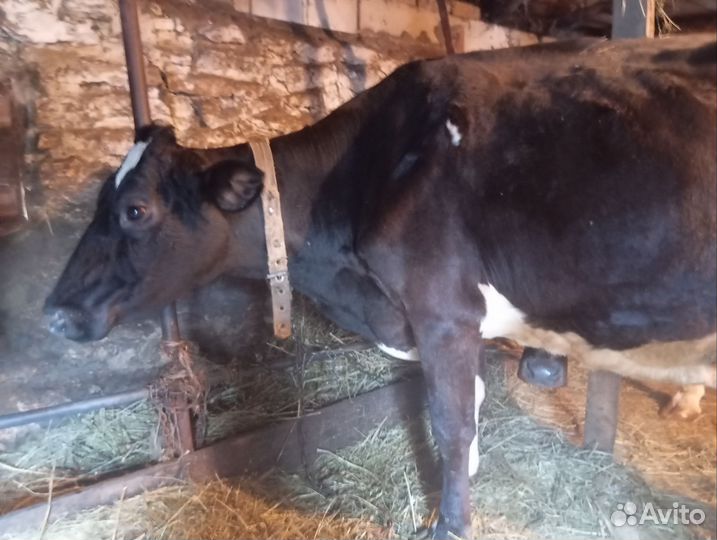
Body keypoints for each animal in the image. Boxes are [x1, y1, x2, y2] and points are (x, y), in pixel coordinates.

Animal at [45, 35, 716, 539]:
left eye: (135, 210)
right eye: (101, 199)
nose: (53, 312)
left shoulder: (443, 312)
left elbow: (452, 421)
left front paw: (450, 524)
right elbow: (472, 404)